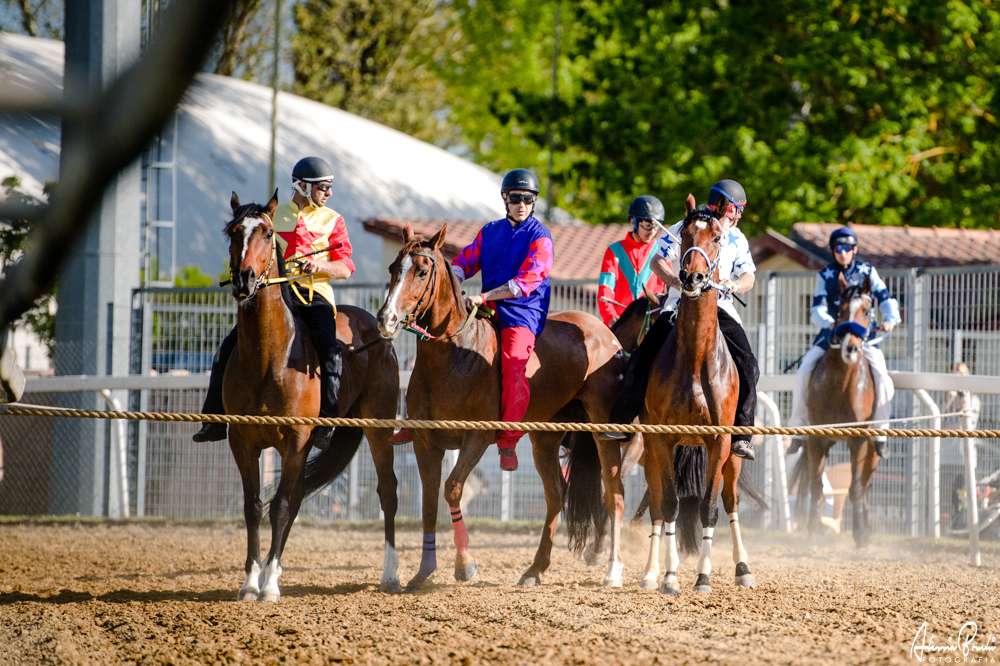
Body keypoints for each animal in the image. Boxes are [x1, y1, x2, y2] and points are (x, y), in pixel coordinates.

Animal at [225, 189, 400, 600]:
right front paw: (251, 581)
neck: (270, 358)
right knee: (300, 494)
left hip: (378, 428)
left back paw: (390, 575)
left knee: (387, 492)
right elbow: (254, 507)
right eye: (233, 232)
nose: (244, 279)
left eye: (268, 233)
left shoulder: (297, 437)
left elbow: (280, 505)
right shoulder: (241, 439)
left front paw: (270, 586)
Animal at [378, 222, 628, 588]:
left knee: (614, 494)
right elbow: (429, 502)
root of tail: (606, 335)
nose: (386, 318)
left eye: (422, 271)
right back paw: (535, 568)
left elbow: (452, 489)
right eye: (394, 269)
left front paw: (464, 563)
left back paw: (612, 570)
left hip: (603, 432)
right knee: (556, 494)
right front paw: (424, 571)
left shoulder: (476, 438)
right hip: (545, 438)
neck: (455, 353)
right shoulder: (426, 442)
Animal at [792, 270, 880, 544]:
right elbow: (816, 486)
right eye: (840, 310)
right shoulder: (817, 439)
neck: (840, 385)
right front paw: (813, 531)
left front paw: (860, 534)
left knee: (865, 484)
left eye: (866, 310)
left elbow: (855, 487)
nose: (850, 348)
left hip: (872, 451)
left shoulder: (859, 439)